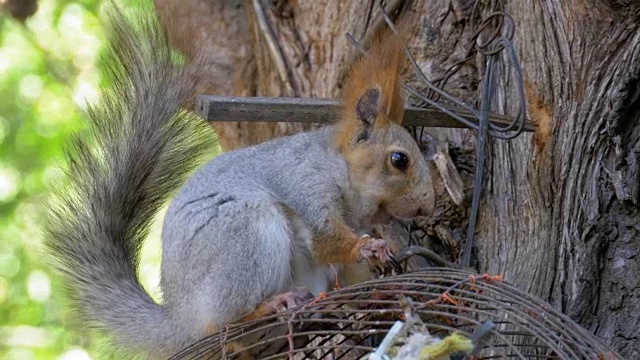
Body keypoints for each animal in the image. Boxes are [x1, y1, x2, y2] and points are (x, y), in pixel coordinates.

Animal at [43, 3, 436, 360]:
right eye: (399, 160)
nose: (426, 206)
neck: (337, 167)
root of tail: (181, 321)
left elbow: (351, 271)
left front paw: (377, 277)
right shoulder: (305, 185)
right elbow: (326, 239)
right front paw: (368, 247)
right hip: (247, 233)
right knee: (226, 324)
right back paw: (274, 304)